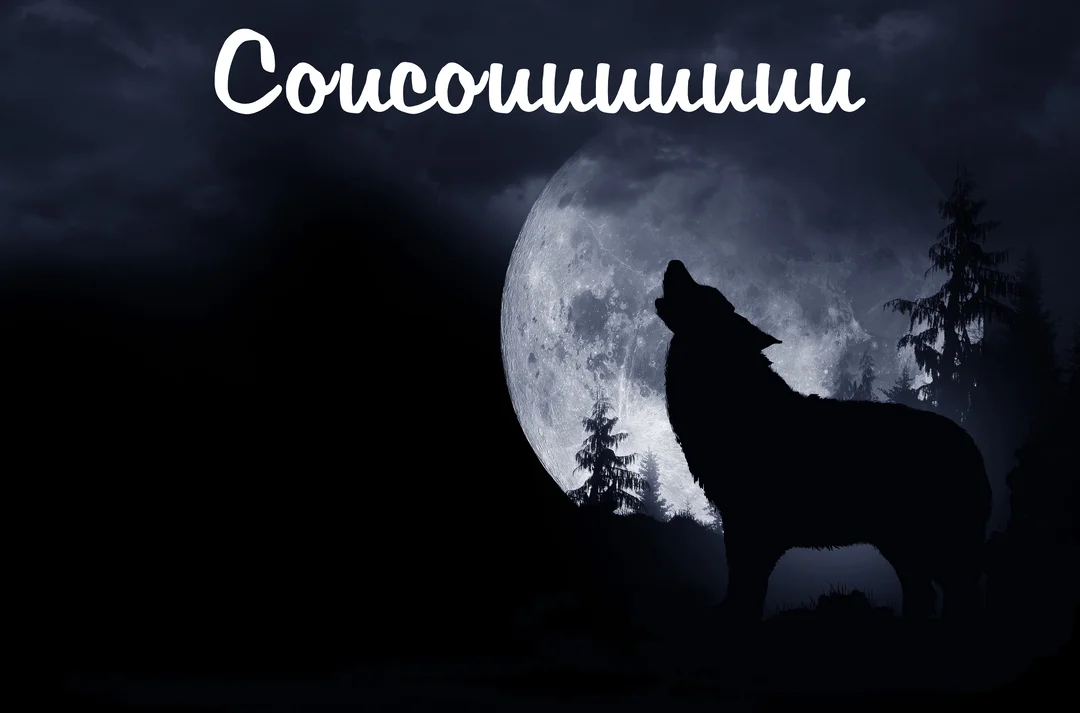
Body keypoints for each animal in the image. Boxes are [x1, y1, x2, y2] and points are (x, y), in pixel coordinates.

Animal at [654, 260, 992, 621]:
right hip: (901, 545)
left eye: (704, 293)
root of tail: (972, 445)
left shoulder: (750, 526)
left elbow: (745, 590)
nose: (674, 263)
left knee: (960, 596)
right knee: (924, 595)